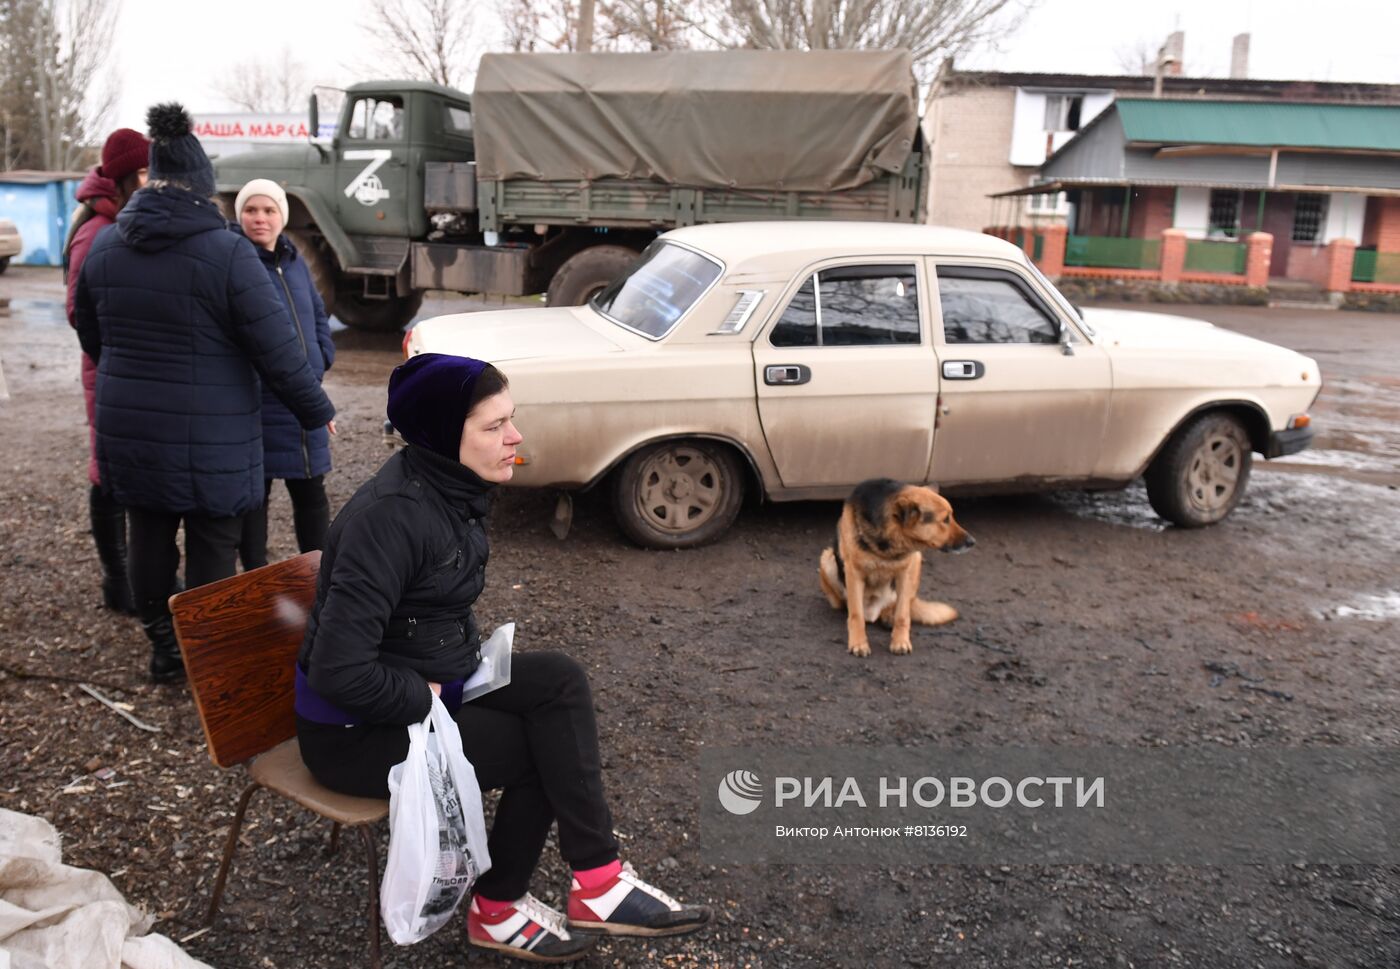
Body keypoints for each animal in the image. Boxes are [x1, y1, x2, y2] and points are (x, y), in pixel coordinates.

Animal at [817, 478, 974, 658]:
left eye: (951, 517)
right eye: (945, 519)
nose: (972, 541)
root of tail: (872, 612)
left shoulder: (905, 573)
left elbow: (903, 615)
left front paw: (900, 641)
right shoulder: (854, 572)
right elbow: (856, 615)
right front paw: (858, 643)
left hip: (916, 562)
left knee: (901, 604)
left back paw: (888, 615)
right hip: (827, 559)